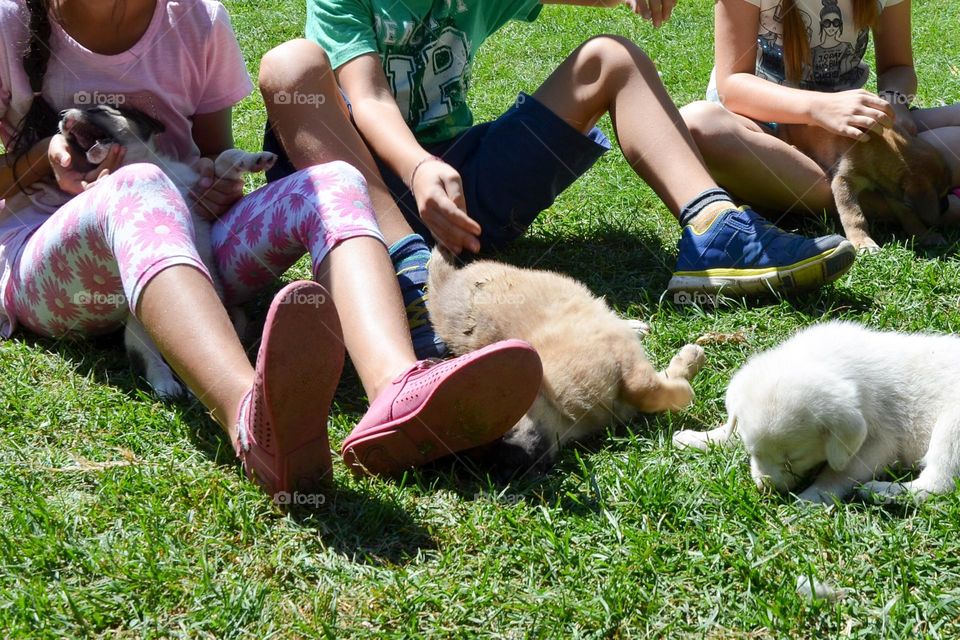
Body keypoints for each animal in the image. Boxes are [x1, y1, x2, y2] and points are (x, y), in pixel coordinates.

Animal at [59, 104, 278, 398]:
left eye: (97, 109)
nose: (61, 115)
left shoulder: (200, 189)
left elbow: (223, 159)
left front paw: (255, 159)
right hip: (139, 330)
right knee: (151, 359)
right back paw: (167, 386)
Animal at [428, 248, 704, 478]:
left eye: (501, 431)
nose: (508, 473)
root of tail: (444, 288)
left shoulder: (621, 358)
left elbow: (645, 390)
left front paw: (688, 364)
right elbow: (652, 390)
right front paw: (686, 368)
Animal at [672, 322, 960, 502]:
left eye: (793, 460)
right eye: (752, 452)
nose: (766, 488)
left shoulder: (880, 442)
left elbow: (837, 473)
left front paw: (810, 498)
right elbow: (729, 431)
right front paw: (697, 438)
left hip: (951, 427)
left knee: (938, 483)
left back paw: (883, 491)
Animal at [784, 121, 948, 251]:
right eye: (941, 194)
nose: (946, 207)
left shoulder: (893, 192)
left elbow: (910, 216)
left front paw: (925, 235)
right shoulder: (844, 181)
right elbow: (854, 215)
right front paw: (863, 242)